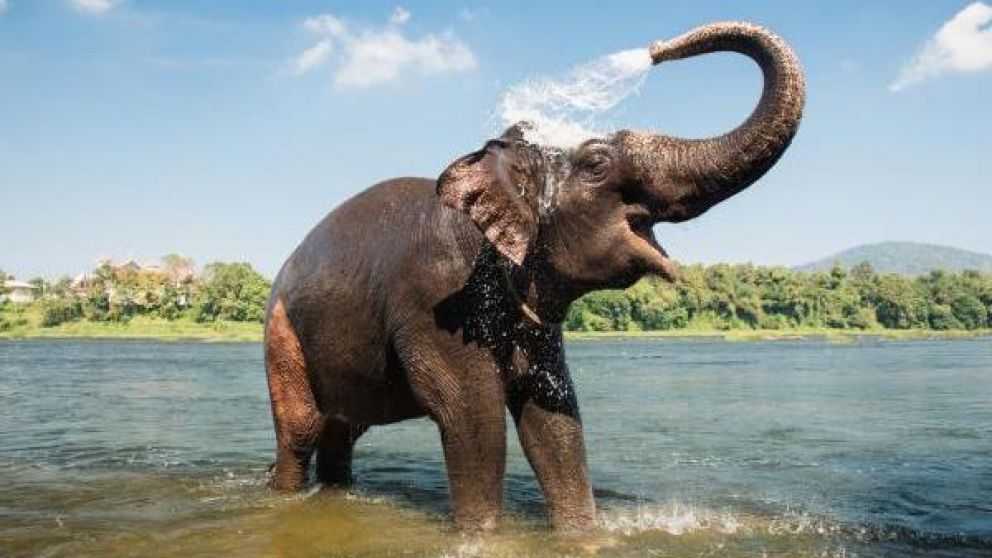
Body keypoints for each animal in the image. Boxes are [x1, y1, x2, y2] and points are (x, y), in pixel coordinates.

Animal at [264, 21, 804, 532]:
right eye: (596, 162)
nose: (655, 49)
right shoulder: (435, 298)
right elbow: (473, 416)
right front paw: (480, 535)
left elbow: (553, 416)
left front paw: (581, 533)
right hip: (281, 333)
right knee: (302, 430)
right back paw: (285, 495)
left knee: (342, 430)